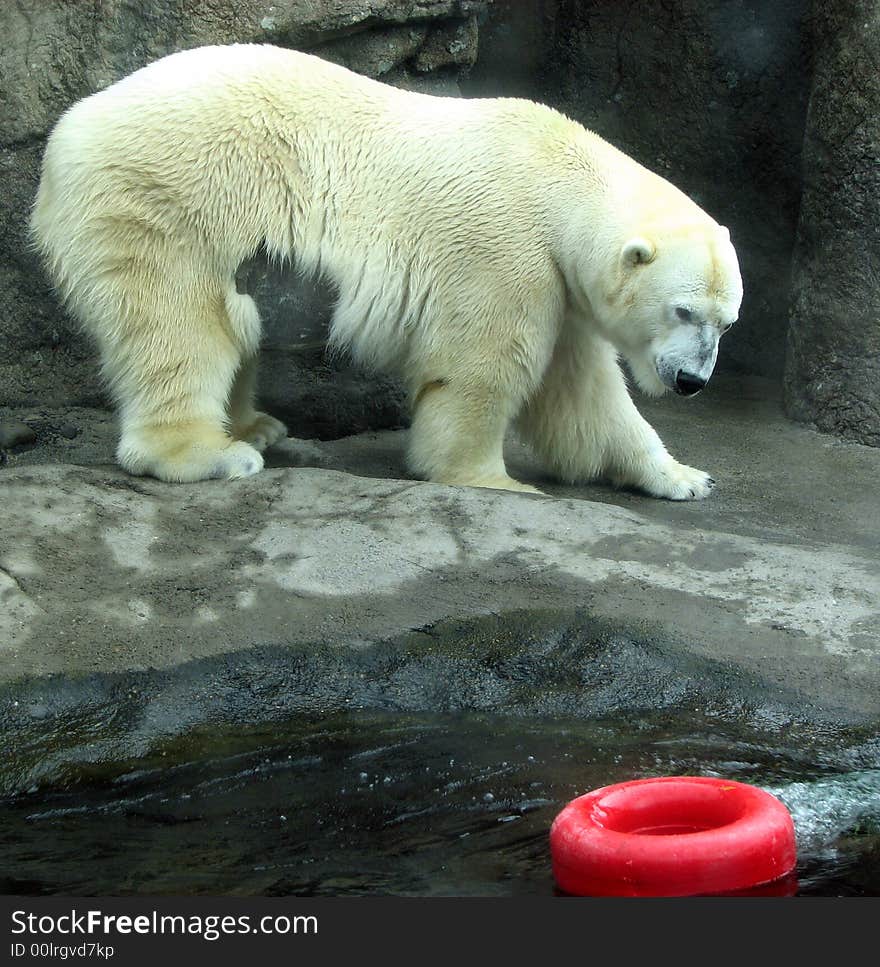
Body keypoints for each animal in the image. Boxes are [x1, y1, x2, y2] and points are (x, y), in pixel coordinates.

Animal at [29, 43, 744, 500]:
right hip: (176, 198)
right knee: (181, 324)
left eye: (726, 322)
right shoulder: (507, 251)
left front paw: (684, 477)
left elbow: (584, 399)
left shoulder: (562, 288)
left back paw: (254, 423)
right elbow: (484, 367)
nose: (692, 382)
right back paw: (214, 453)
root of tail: (70, 129)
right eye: (682, 310)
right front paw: (490, 478)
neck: (559, 176)